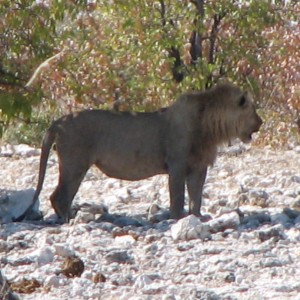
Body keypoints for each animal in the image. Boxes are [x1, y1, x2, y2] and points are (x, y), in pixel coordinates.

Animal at [17, 82, 262, 223]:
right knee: (59, 196)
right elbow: (177, 197)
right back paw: (70, 221)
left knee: (58, 196)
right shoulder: (177, 165)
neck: (211, 126)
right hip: (74, 165)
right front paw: (177, 219)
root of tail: (58, 121)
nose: (261, 123)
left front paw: (198, 218)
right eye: (252, 109)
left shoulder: (199, 167)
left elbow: (196, 197)